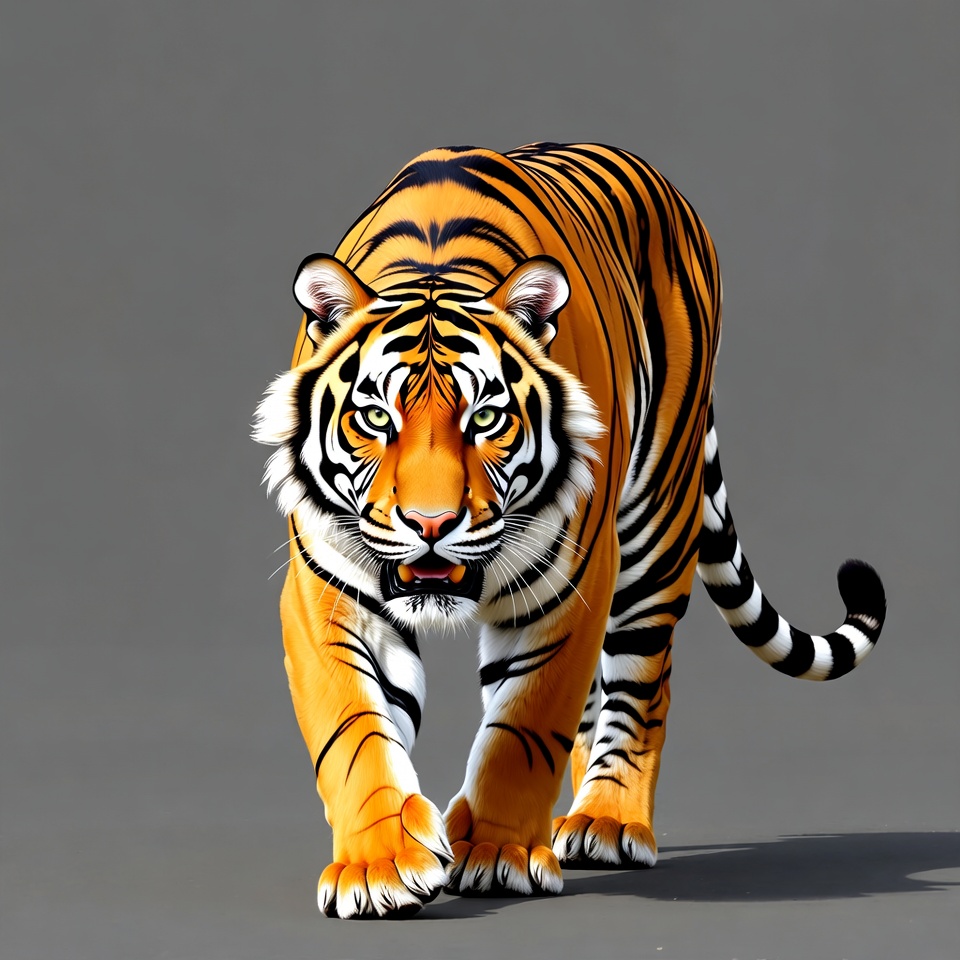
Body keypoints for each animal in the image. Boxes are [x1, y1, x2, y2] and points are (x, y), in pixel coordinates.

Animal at [253, 142, 886, 919]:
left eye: (485, 418)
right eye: (376, 418)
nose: (431, 524)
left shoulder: (568, 581)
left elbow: (524, 727)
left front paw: (495, 853)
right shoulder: (328, 593)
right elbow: (355, 731)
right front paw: (379, 865)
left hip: (653, 528)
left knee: (641, 687)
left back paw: (607, 821)